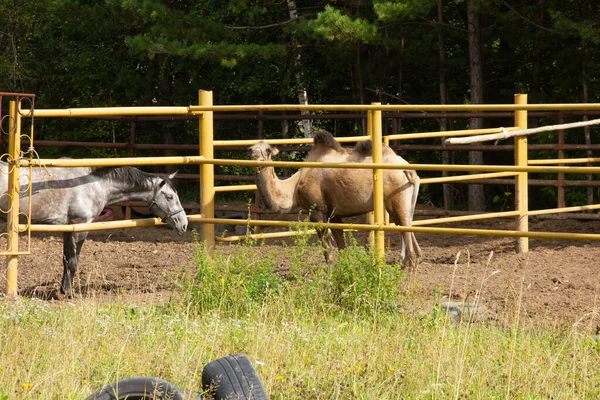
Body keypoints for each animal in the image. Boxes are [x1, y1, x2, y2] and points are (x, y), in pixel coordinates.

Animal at [0, 163, 188, 296]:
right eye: (170, 197)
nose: (184, 223)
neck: (95, 186)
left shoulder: (68, 227)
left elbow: (66, 259)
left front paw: (62, 290)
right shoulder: (81, 227)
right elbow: (73, 261)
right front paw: (68, 293)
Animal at [250, 131, 422, 268]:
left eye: (267, 149)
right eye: (251, 148)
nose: (254, 153)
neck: (295, 186)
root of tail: (408, 170)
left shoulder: (317, 211)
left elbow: (327, 247)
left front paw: (330, 272)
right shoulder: (334, 214)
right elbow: (341, 246)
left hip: (396, 200)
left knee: (407, 235)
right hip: (405, 201)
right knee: (408, 227)